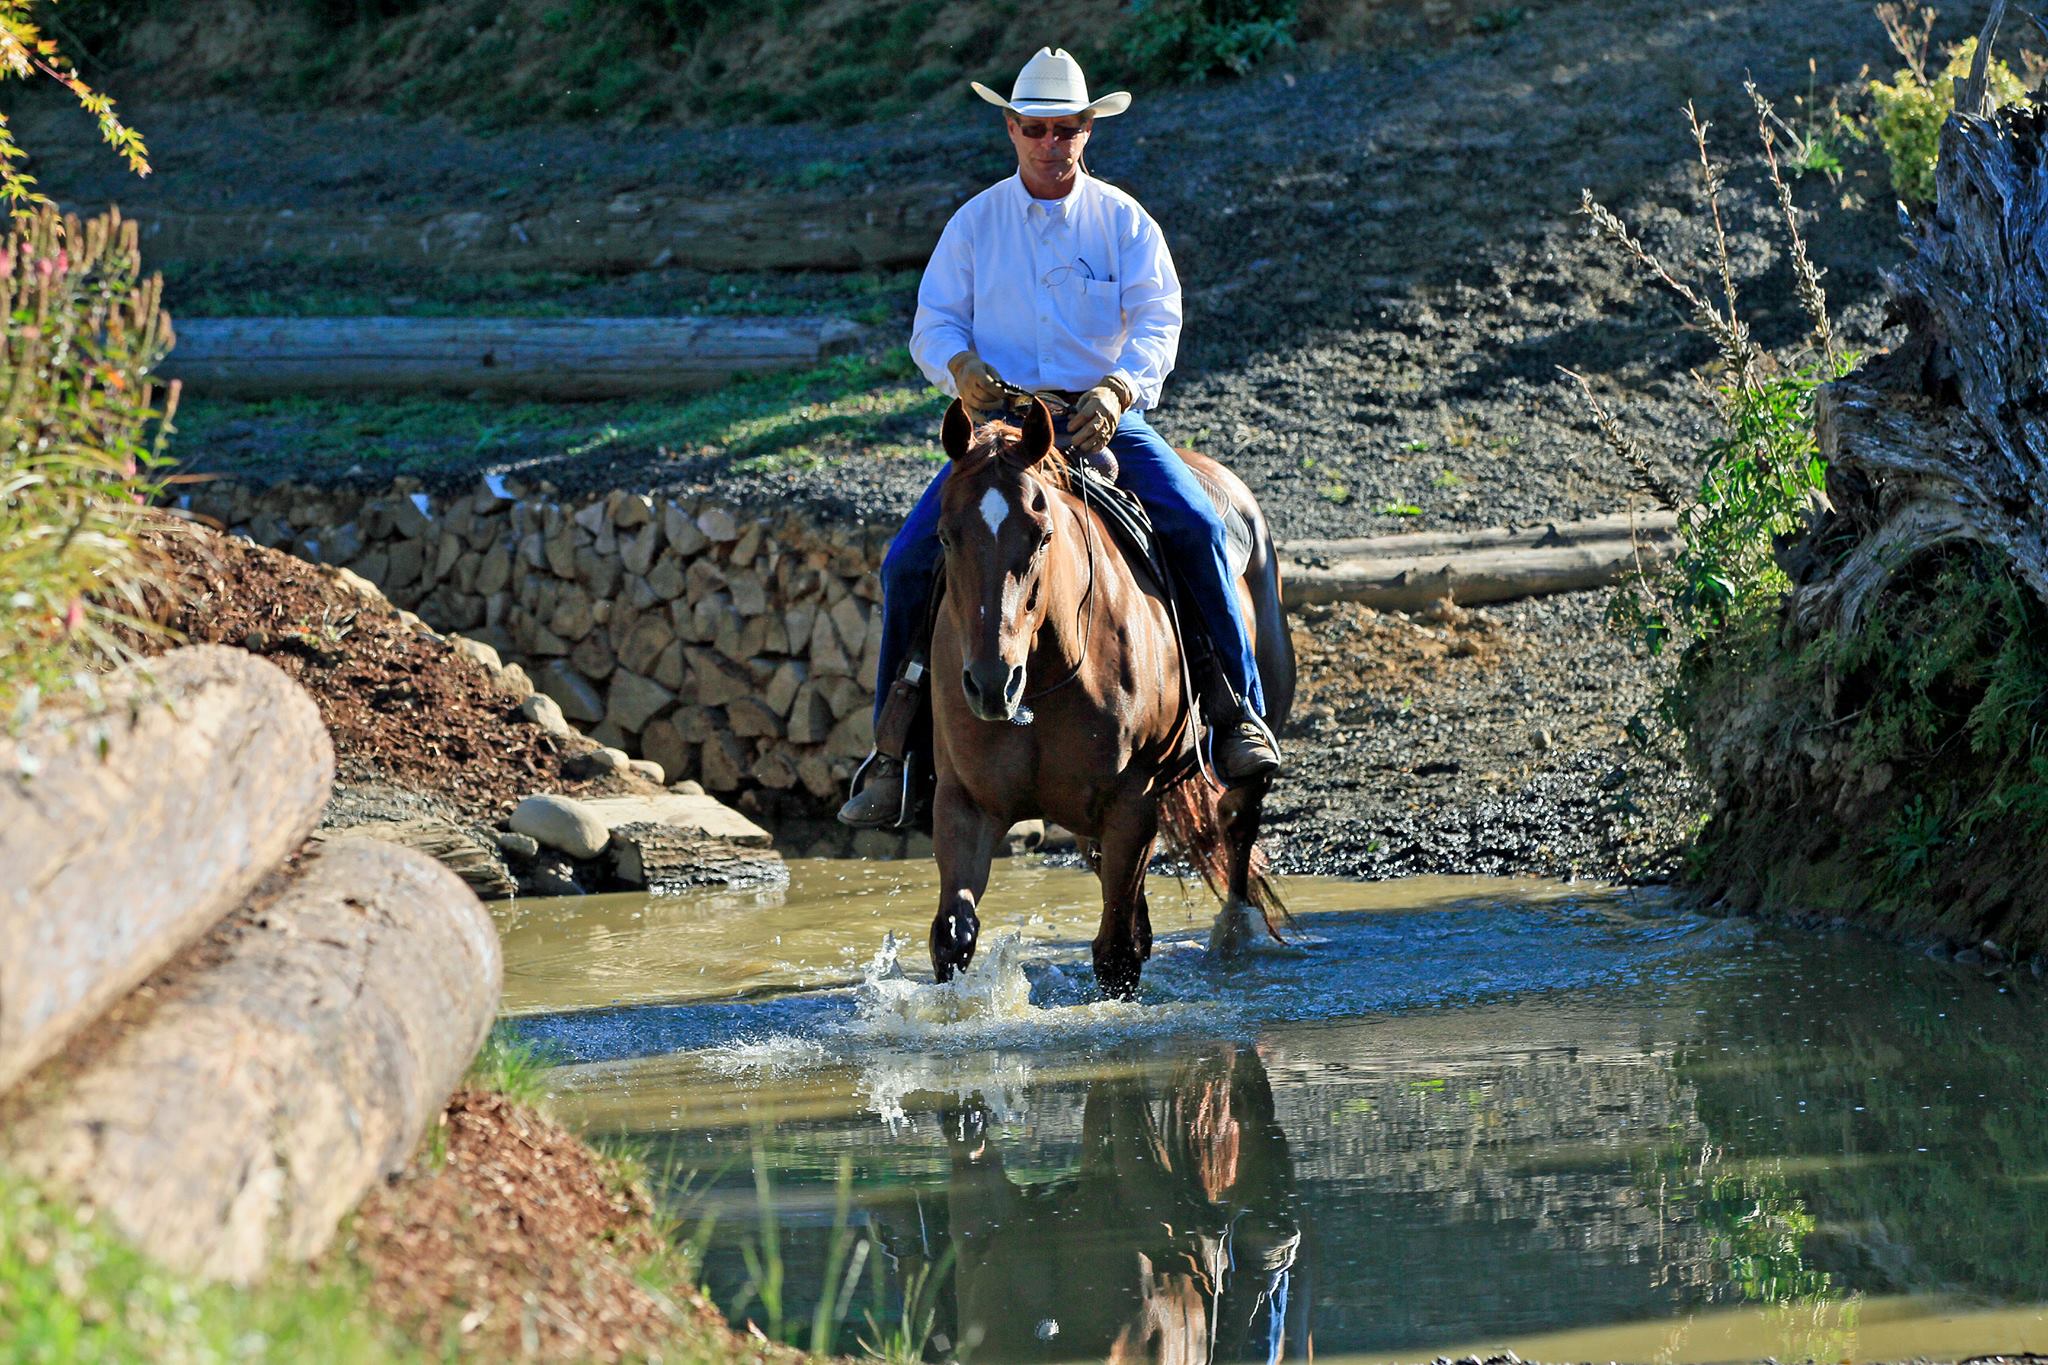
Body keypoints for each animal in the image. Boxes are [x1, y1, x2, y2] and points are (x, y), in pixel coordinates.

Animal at [929, 401, 1294, 998]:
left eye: (1043, 535)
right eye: (943, 536)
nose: (991, 683)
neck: (1044, 677)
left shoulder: (1131, 801)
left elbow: (1116, 955)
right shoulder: (964, 802)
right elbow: (953, 938)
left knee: (1239, 817)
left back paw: (1233, 934)